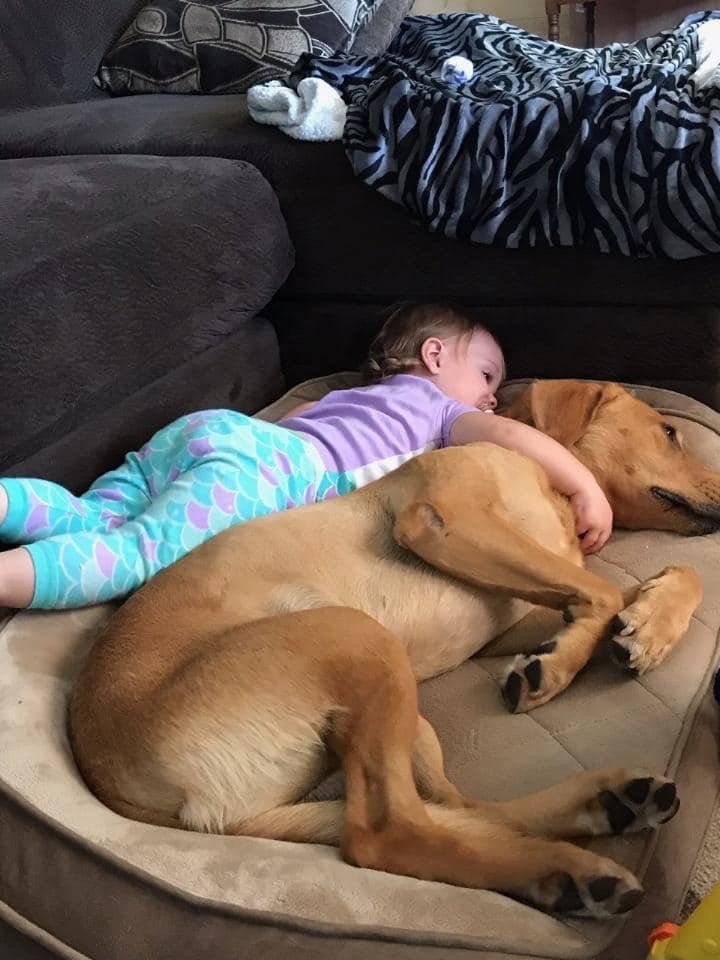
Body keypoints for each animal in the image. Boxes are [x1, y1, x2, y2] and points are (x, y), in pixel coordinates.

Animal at [69, 380, 719, 917]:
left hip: (400, 712)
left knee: (463, 809)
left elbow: (658, 581)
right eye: (668, 432)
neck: (550, 486)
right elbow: (602, 590)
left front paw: (644, 628)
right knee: (390, 833)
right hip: (357, 635)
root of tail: (117, 781)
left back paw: (609, 805)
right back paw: (566, 872)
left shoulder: (514, 615)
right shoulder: (445, 520)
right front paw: (558, 666)